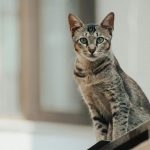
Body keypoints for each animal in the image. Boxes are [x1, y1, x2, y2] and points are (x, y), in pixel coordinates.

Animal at [67, 12, 150, 142]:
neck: (90, 72)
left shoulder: (120, 99)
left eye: (100, 40)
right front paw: (101, 140)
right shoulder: (93, 105)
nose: (92, 49)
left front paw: (116, 138)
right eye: (83, 40)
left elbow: (119, 126)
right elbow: (100, 129)